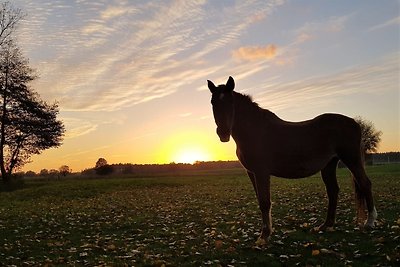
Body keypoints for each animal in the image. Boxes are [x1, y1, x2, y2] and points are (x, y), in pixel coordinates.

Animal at [208, 76, 376, 246]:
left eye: (230, 102)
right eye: (213, 102)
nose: (223, 133)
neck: (255, 130)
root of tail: (354, 123)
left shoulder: (262, 172)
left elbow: (265, 202)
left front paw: (264, 235)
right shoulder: (251, 172)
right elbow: (261, 201)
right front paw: (265, 233)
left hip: (352, 159)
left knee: (365, 184)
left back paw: (369, 222)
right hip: (329, 165)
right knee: (333, 190)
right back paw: (325, 225)